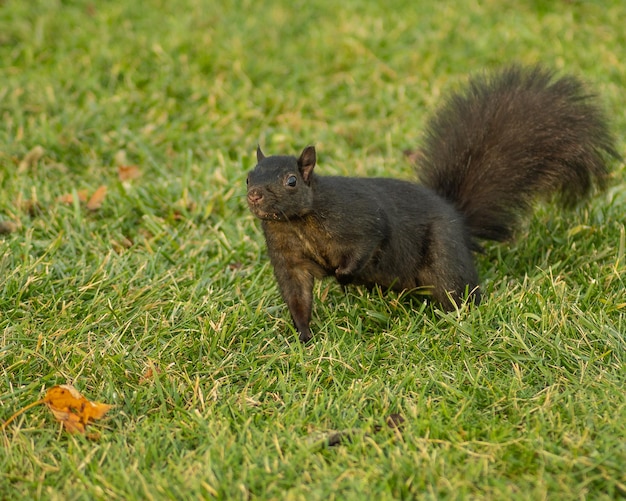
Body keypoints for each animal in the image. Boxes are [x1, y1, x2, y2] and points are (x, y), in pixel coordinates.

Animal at [246, 64, 616, 342]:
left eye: (291, 181)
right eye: (248, 176)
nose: (254, 195)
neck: (297, 221)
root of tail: (459, 221)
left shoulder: (356, 216)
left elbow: (370, 237)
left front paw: (344, 276)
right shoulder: (288, 257)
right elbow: (296, 294)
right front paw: (304, 335)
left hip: (444, 257)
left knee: (458, 290)